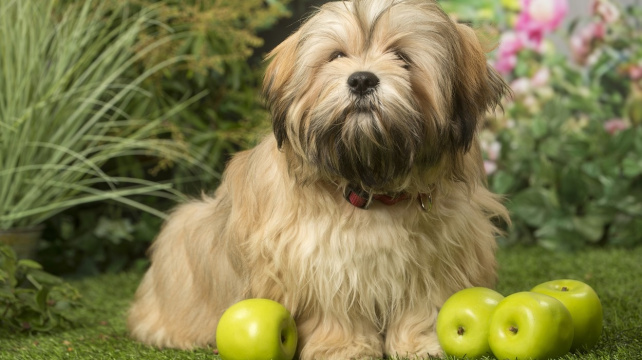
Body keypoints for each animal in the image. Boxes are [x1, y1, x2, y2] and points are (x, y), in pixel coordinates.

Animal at [129, 1, 510, 358]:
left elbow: (422, 301)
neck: (369, 182)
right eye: (336, 56)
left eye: (401, 56)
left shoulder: (437, 254)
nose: (361, 79)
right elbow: (335, 307)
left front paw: (419, 344)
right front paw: (344, 347)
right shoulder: (315, 259)